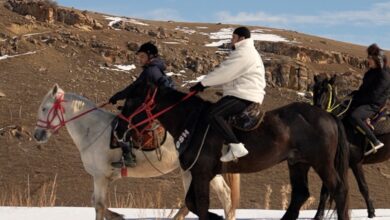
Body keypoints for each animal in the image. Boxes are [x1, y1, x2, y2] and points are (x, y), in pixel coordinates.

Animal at [33, 84, 239, 220]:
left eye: (44, 108)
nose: (37, 135)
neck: (92, 129)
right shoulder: (104, 178)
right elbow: (99, 204)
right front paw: (117, 215)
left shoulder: (99, 177)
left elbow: (98, 205)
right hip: (190, 172)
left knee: (224, 196)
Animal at [129, 83, 348, 220]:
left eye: (132, 103)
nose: (128, 133)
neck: (193, 122)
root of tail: (328, 116)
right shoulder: (199, 172)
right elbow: (192, 203)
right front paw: (217, 216)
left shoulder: (201, 173)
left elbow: (200, 204)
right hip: (298, 163)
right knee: (301, 194)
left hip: (322, 163)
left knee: (338, 189)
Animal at [312, 75, 390, 218]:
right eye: (314, 89)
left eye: (327, 90)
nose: (318, 108)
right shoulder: (332, 164)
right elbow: (324, 191)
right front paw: (318, 215)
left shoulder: (356, 162)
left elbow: (363, 187)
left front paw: (371, 212)